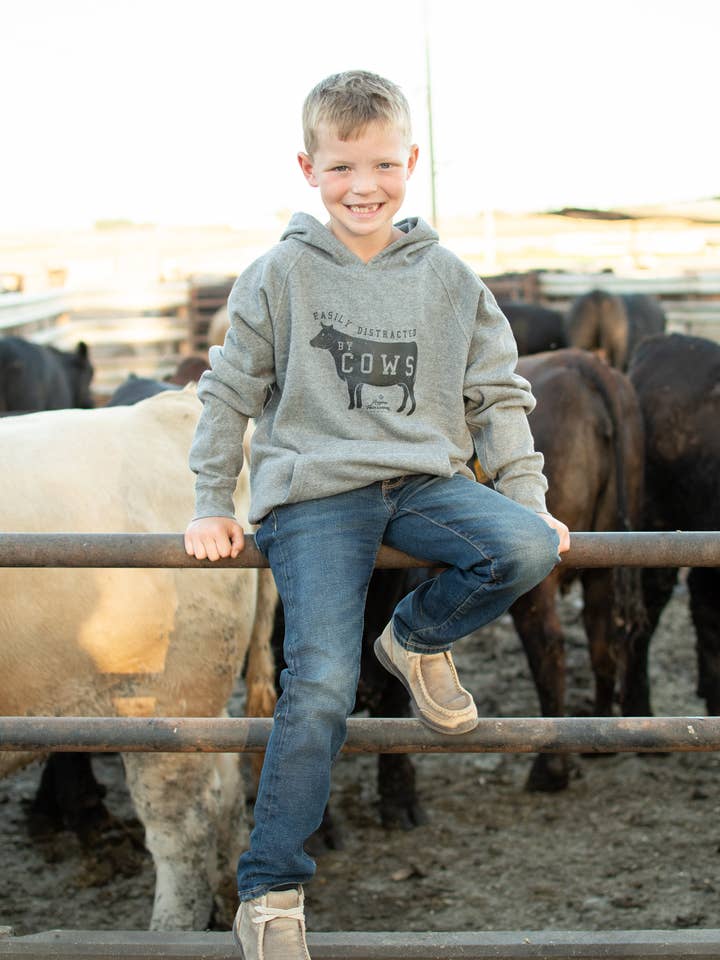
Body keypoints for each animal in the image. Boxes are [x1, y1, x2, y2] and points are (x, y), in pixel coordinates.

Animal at [510, 348, 646, 790]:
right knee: (604, 636)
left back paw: (550, 769)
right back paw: (598, 738)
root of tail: (585, 364)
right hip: (607, 560)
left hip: (536, 581)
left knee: (549, 646)